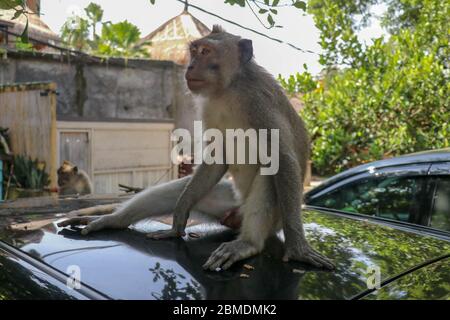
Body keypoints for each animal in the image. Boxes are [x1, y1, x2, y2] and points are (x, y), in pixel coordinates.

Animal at [58, 25, 334, 270]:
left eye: (206, 52)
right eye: (194, 51)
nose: (190, 66)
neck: (228, 89)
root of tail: (237, 215)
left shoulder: (259, 103)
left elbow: (282, 159)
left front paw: (298, 248)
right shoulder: (208, 106)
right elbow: (215, 160)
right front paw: (179, 215)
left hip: (276, 216)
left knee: (269, 175)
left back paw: (248, 243)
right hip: (226, 202)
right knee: (178, 189)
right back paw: (114, 220)